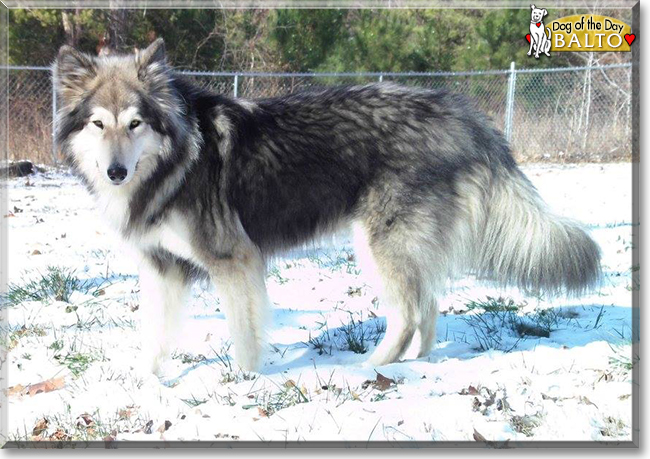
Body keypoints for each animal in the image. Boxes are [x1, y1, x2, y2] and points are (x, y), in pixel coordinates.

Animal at [53, 38, 600, 378]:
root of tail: (457, 111)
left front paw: (246, 383)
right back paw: (419, 364)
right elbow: (154, 335)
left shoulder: (234, 262)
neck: (176, 158)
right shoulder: (162, 268)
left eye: (136, 123)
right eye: (99, 124)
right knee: (428, 306)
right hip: (402, 248)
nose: (115, 173)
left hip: (378, 245)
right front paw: (144, 384)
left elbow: (244, 336)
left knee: (408, 313)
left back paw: (373, 366)